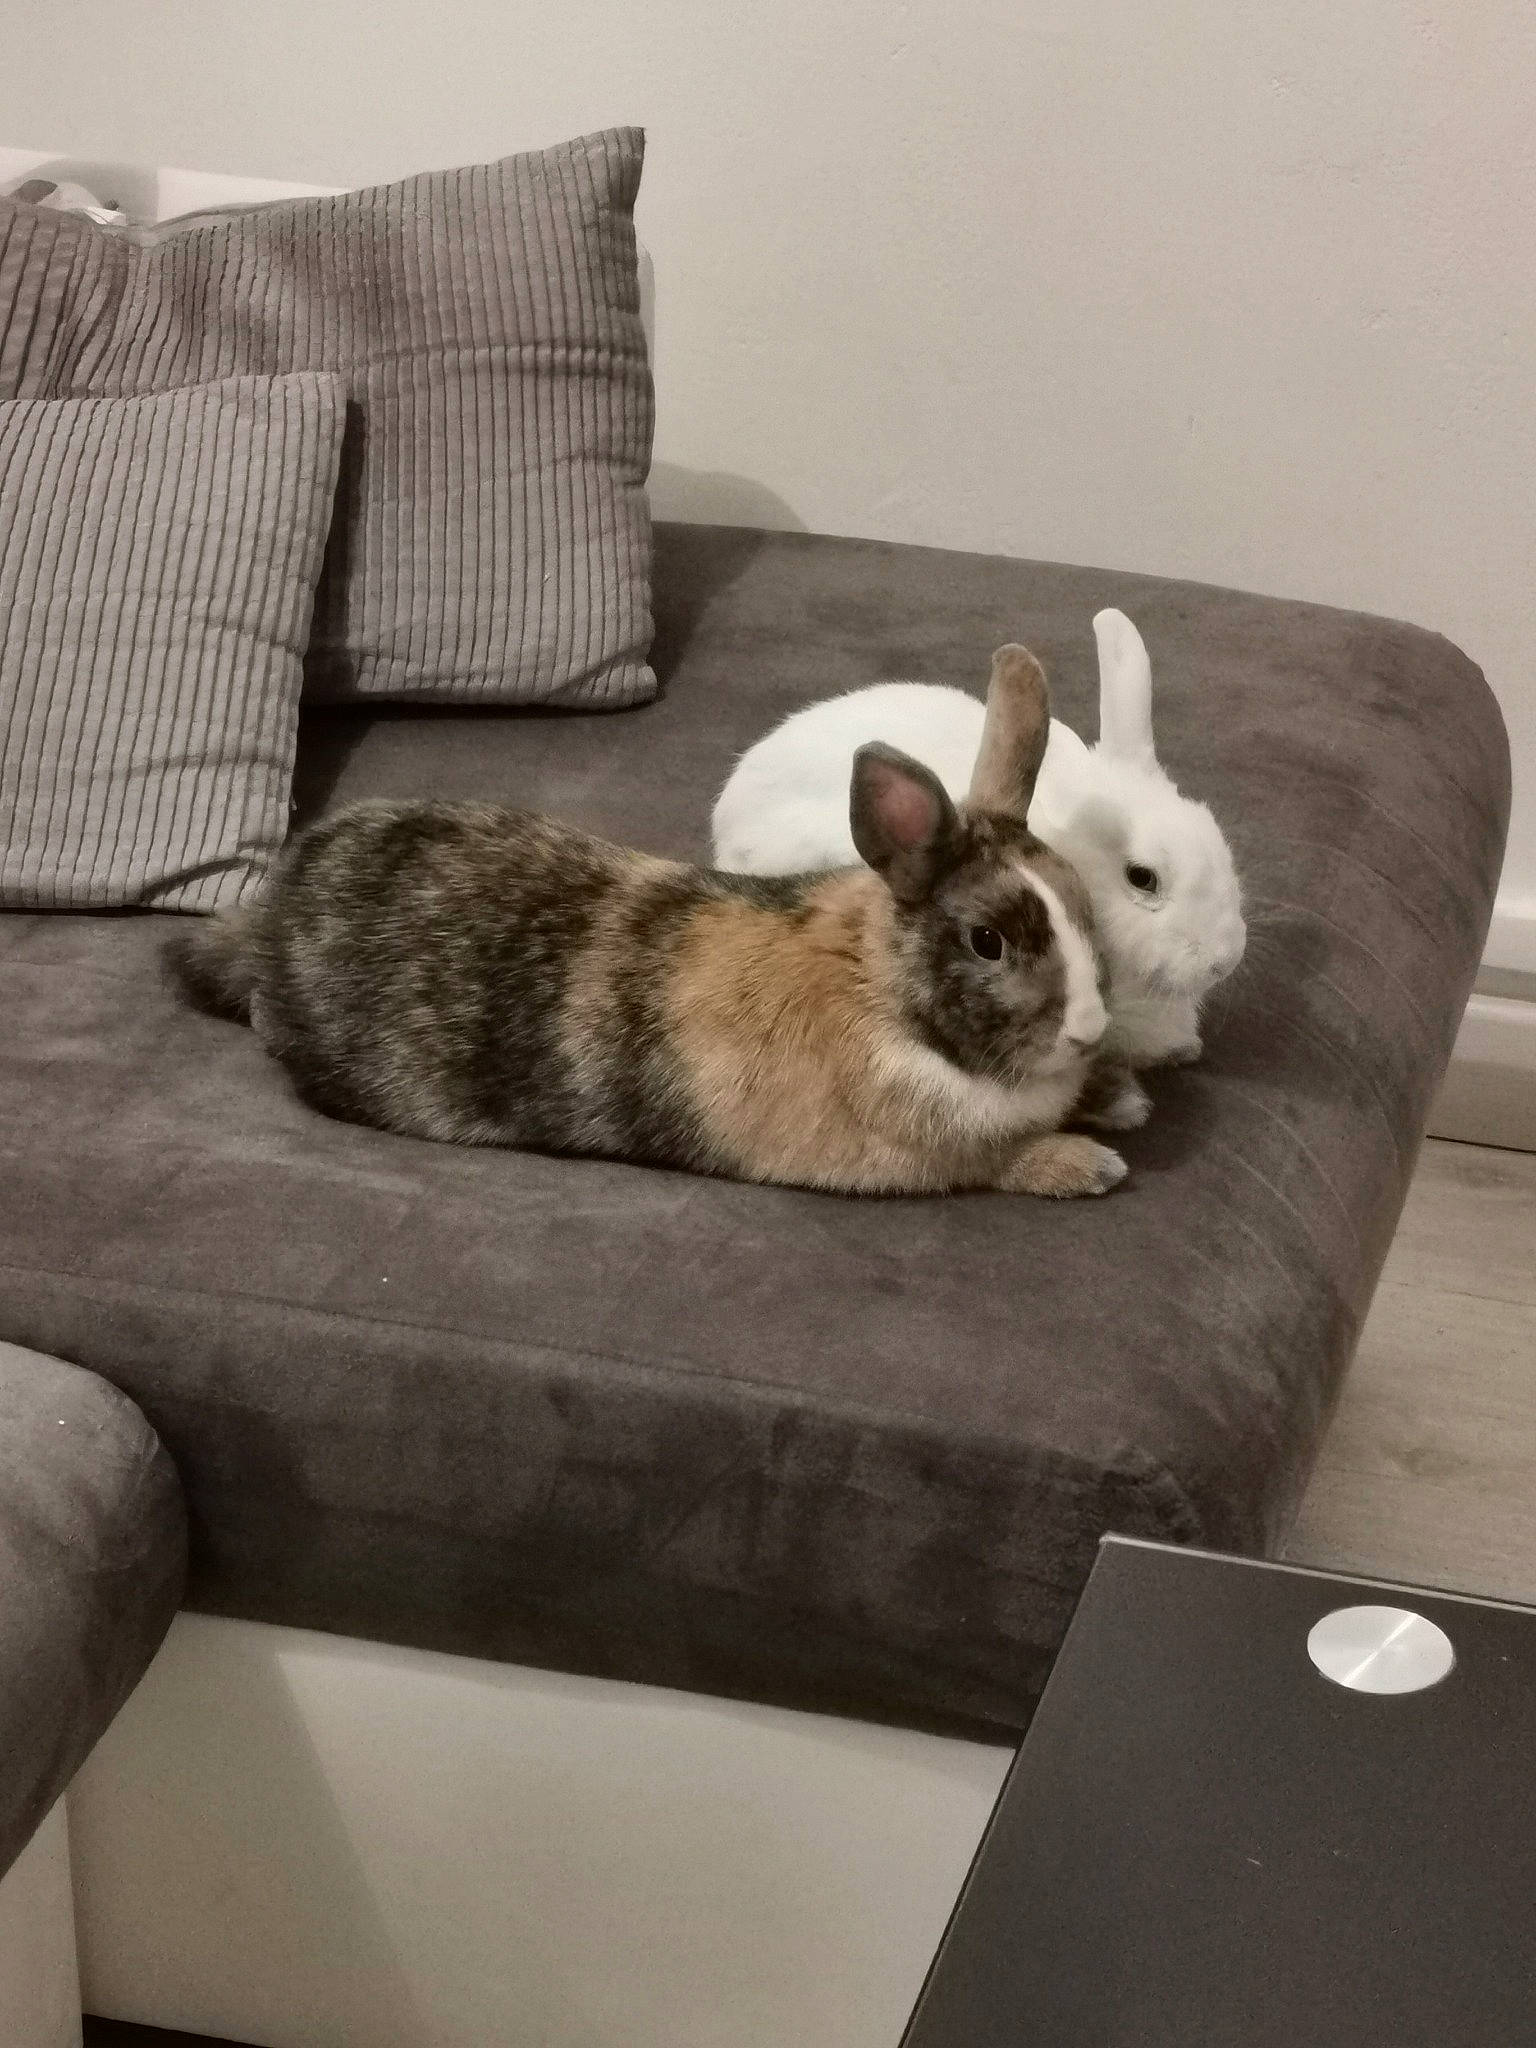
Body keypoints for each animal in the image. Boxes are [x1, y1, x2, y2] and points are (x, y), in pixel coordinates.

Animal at [167, 646, 1139, 1199]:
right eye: (989, 940)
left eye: (1081, 901)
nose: (1093, 1029)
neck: (881, 991)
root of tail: (273, 919)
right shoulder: (925, 1156)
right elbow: (1002, 1162)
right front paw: (1091, 1165)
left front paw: (1121, 1095)